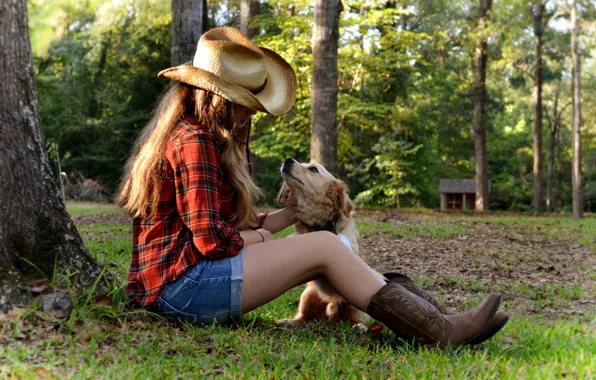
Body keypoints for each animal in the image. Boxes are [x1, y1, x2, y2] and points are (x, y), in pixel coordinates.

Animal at [274, 157, 368, 330]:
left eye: (313, 169)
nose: (287, 159)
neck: (321, 224)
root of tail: (332, 306)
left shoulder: (351, 244)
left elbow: (339, 238)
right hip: (308, 295)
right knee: (303, 318)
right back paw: (286, 322)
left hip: (356, 304)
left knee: (357, 319)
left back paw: (360, 327)